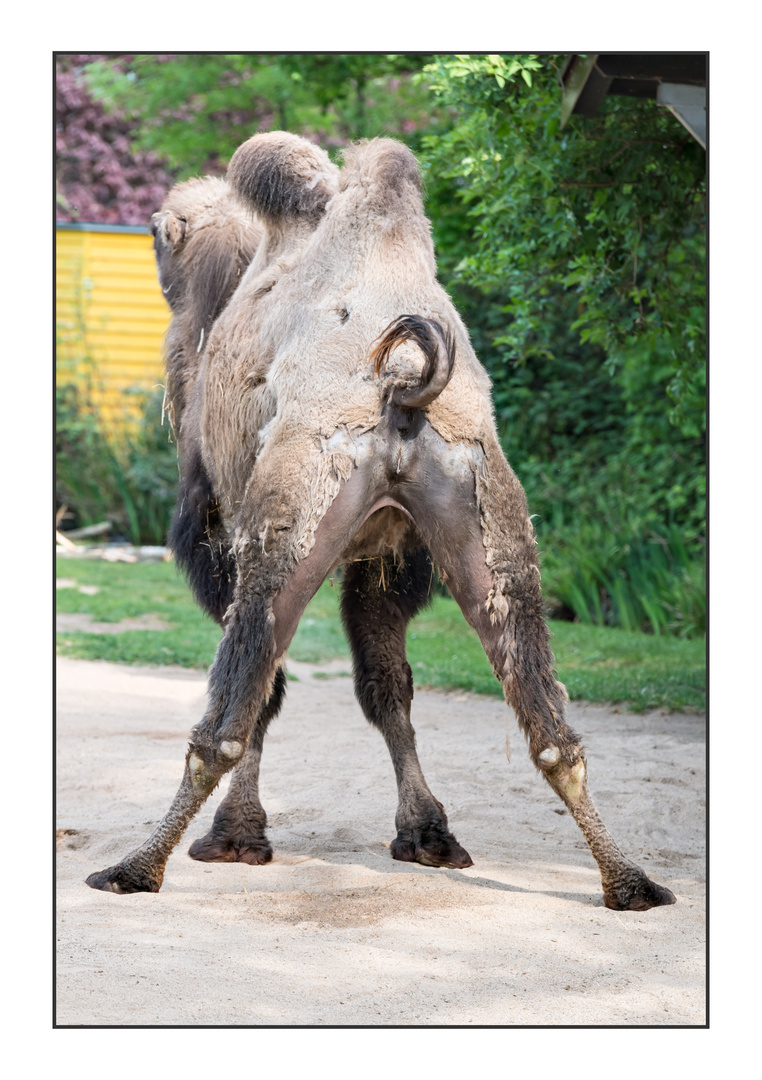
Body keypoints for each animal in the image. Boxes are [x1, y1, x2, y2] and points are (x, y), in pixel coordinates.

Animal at [86, 135, 673, 911]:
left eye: (159, 238)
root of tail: (403, 377)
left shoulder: (216, 531)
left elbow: (277, 692)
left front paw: (241, 836)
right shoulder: (387, 560)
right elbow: (385, 684)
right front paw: (425, 833)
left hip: (289, 512)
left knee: (231, 713)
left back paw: (137, 867)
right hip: (486, 514)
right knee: (550, 727)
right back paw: (629, 881)